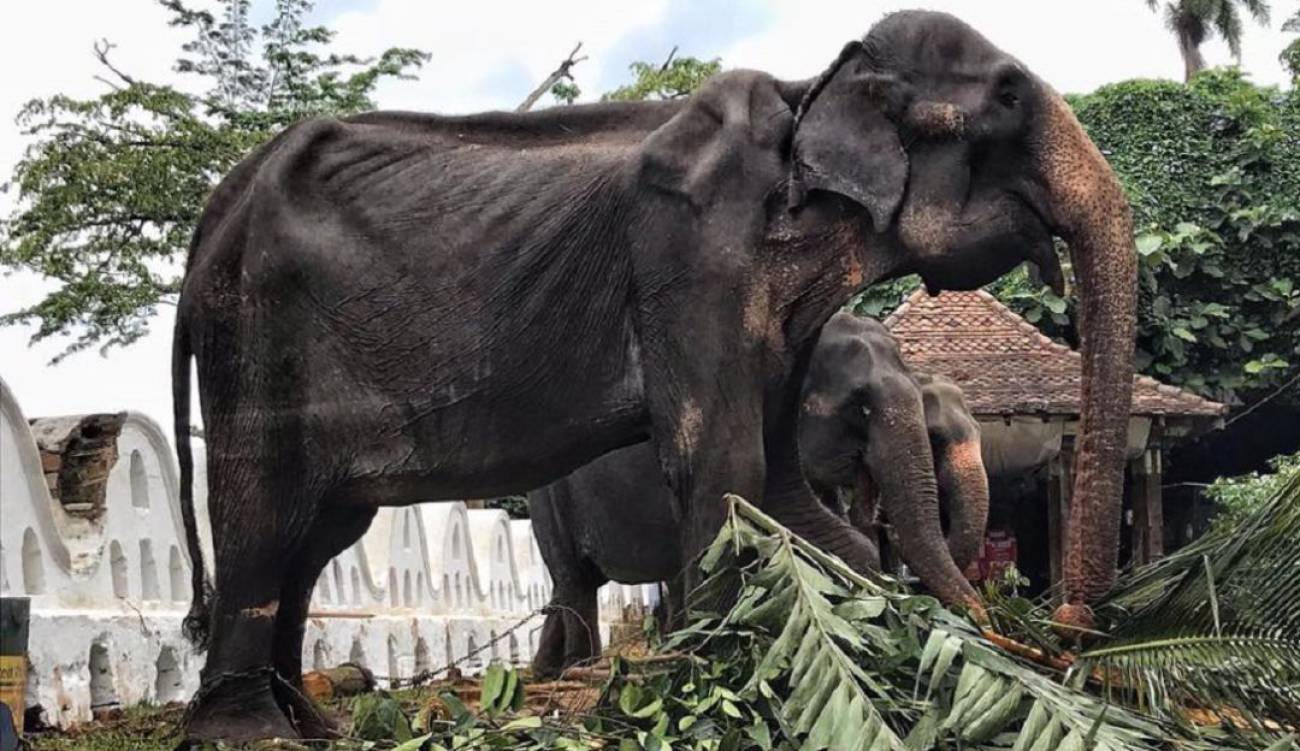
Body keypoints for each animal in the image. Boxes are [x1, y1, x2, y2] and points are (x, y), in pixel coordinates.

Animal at [528, 312, 990, 678]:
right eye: (860, 407)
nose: (988, 625)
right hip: (548, 500)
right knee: (575, 581)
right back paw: (580, 671)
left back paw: (548, 672)